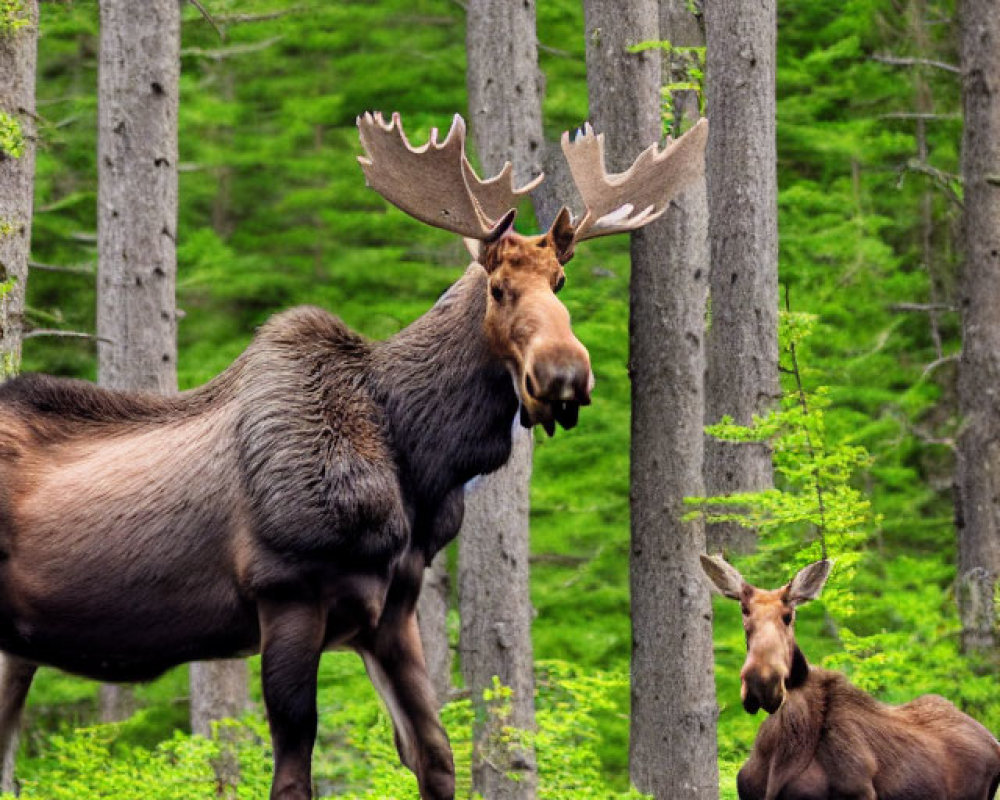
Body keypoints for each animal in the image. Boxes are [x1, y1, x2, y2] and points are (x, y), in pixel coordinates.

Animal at [0, 114, 712, 800]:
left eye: (560, 281)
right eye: (498, 288)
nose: (565, 373)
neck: (419, 463)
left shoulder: (392, 611)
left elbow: (435, 758)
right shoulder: (287, 592)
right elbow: (294, 774)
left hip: (18, 649)